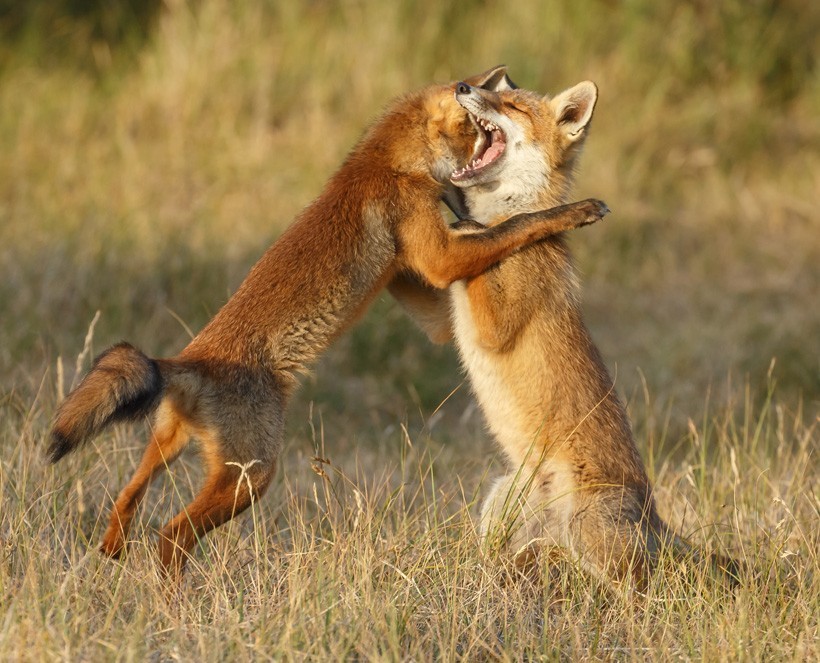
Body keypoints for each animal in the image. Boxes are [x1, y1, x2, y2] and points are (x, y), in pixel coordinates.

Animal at [46, 70, 608, 572]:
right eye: (480, 118)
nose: (474, 86)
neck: (383, 164)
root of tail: (187, 363)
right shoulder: (439, 258)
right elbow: (521, 224)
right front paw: (574, 211)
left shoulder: (422, 262)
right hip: (251, 477)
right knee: (169, 537)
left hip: (169, 446)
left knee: (127, 499)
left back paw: (113, 549)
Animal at [394, 74, 740, 592]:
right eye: (495, 94)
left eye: (512, 105)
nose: (462, 86)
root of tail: (653, 517)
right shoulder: (445, 317)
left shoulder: (493, 325)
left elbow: (500, 235)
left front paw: (480, 220)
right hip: (501, 508)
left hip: (589, 533)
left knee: (643, 585)